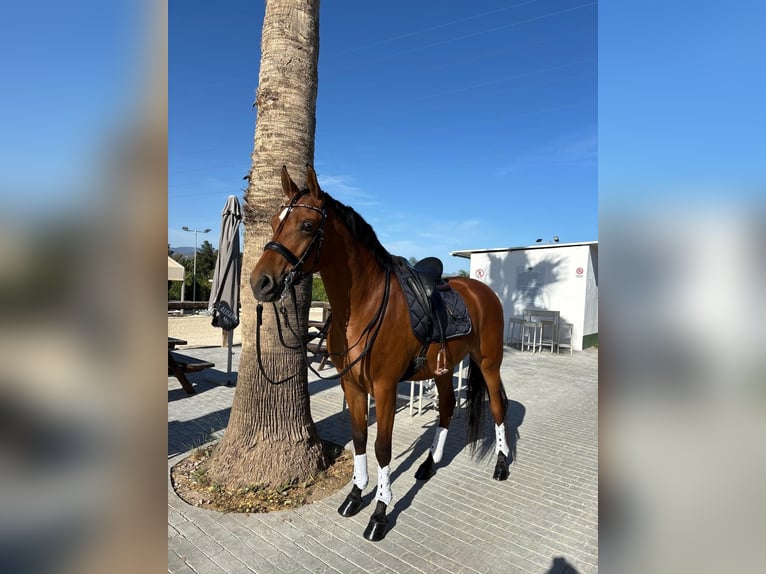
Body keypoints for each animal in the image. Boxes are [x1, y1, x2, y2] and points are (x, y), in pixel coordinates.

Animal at [251, 165, 512, 541]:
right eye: (274, 221)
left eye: (307, 225)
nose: (261, 282)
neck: (364, 305)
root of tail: (482, 291)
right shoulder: (352, 386)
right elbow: (360, 438)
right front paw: (355, 495)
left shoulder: (386, 387)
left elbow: (382, 447)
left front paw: (380, 512)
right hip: (444, 369)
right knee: (447, 407)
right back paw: (428, 465)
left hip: (489, 363)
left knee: (498, 407)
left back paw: (502, 464)